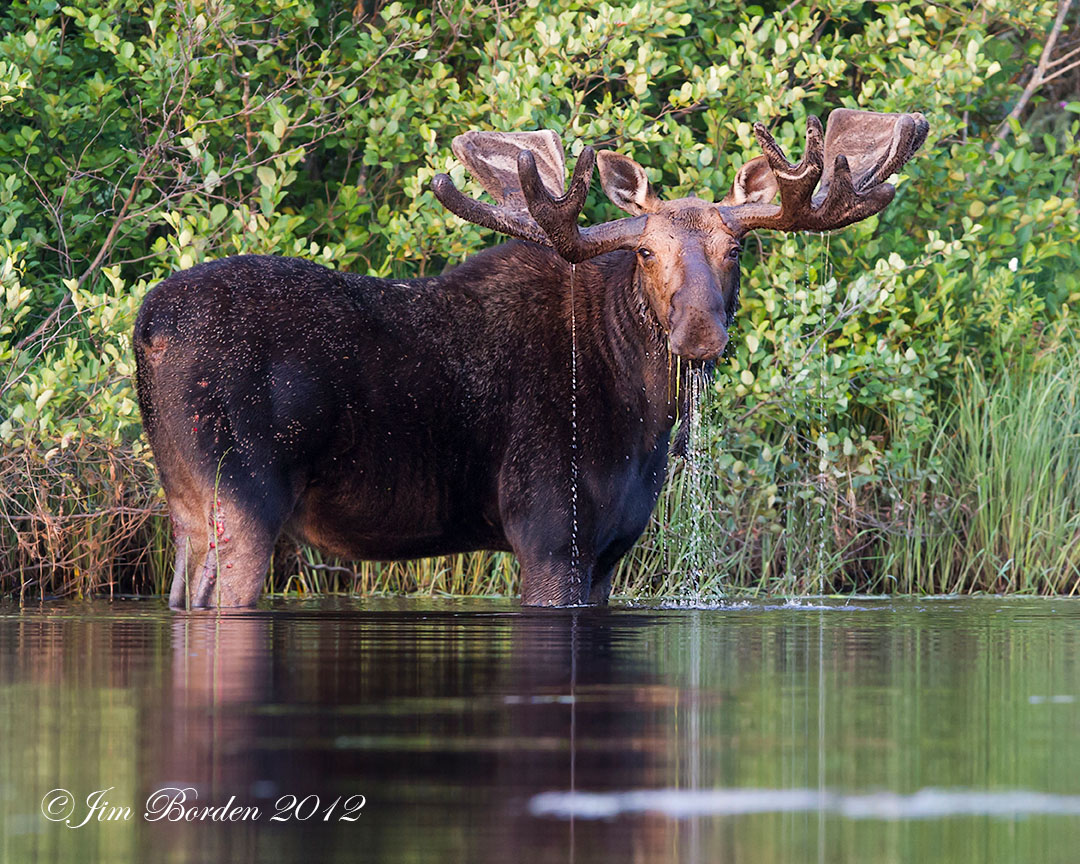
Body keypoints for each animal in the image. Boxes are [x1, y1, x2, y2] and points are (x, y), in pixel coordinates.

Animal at [134, 107, 928, 608]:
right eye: (646, 252)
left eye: (736, 249)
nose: (700, 334)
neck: (644, 417)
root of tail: (147, 326)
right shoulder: (548, 531)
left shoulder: (609, 550)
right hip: (241, 492)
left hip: (187, 499)